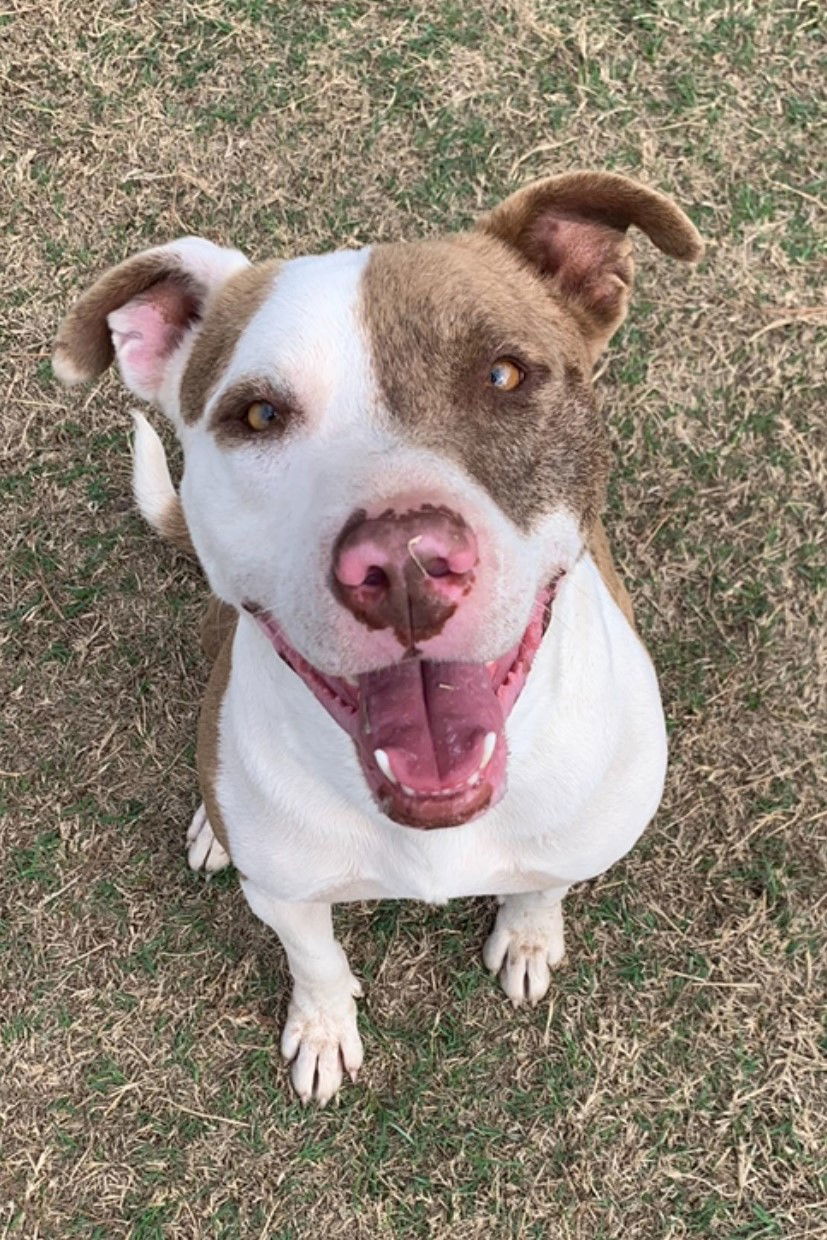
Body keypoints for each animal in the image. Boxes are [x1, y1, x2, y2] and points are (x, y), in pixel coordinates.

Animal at [54, 172, 704, 1106]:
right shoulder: (285, 895)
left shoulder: (581, 839)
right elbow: (315, 957)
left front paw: (530, 934)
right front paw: (324, 1027)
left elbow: (544, 888)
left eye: (504, 375)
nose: (402, 564)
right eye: (258, 414)